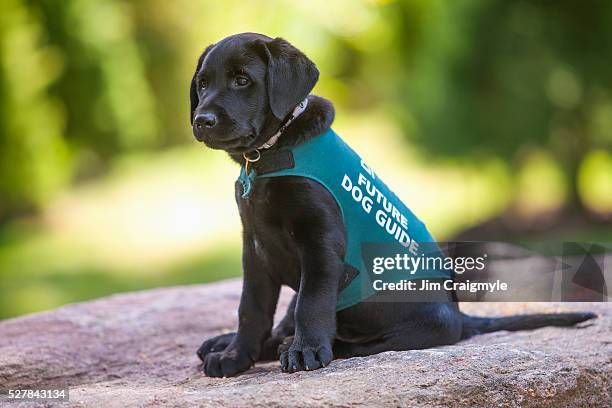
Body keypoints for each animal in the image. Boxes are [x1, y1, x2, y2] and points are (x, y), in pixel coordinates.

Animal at [190, 33, 592, 378]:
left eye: (242, 80)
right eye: (203, 84)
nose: (201, 120)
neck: (269, 153)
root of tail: (461, 317)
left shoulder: (321, 243)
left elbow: (312, 303)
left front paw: (306, 350)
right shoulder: (256, 248)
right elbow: (251, 308)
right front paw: (236, 355)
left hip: (424, 323)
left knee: (359, 343)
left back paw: (303, 344)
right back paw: (232, 343)